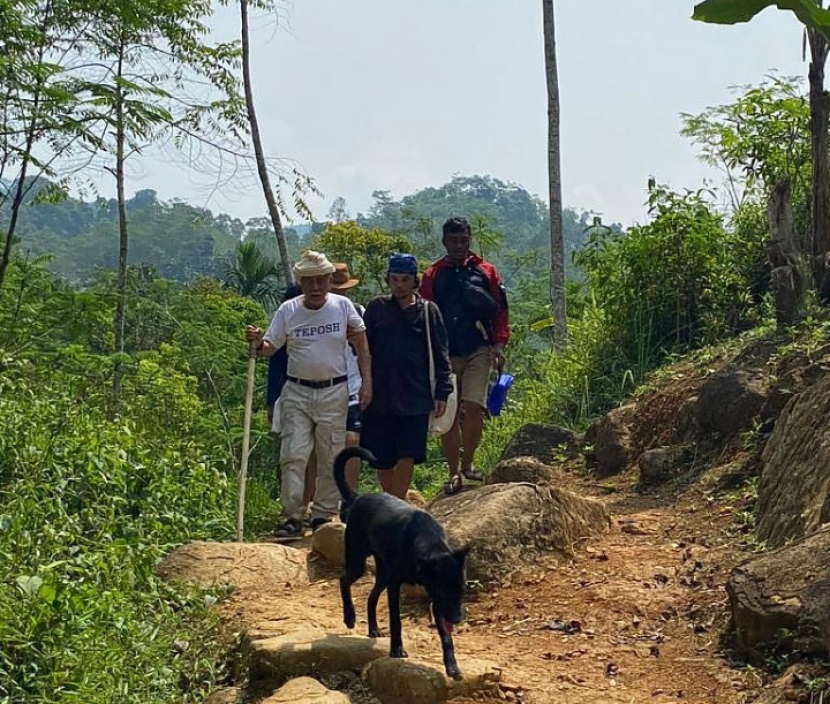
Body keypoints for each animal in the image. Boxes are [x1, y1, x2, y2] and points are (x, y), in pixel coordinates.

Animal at [334, 448, 472, 680]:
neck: (428, 544)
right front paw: (397, 650)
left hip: (381, 574)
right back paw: (350, 617)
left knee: (371, 598)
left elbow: (446, 638)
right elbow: (396, 621)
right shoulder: (397, 586)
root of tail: (358, 497)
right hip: (358, 561)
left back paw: (373, 629)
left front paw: (452, 667)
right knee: (344, 580)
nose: (456, 619)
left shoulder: (434, 599)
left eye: (461, 590)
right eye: (444, 591)